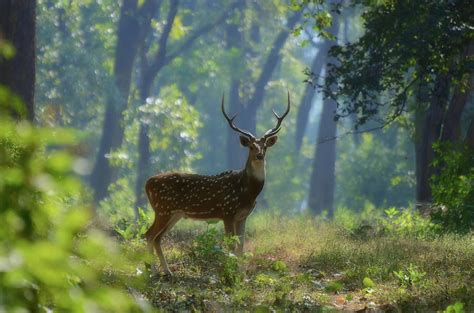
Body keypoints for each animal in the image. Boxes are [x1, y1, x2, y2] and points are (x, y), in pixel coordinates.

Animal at [144, 91, 290, 274]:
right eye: (251, 146)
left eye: (265, 146)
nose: (259, 155)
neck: (247, 192)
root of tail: (147, 183)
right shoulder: (227, 212)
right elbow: (230, 246)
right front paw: (230, 272)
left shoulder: (243, 216)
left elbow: (241, 246)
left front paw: (240, 274)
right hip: (163, 209)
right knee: (149, 235)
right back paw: (153, 272)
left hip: (174, 213)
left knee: (157, 238)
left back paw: (167, 272)